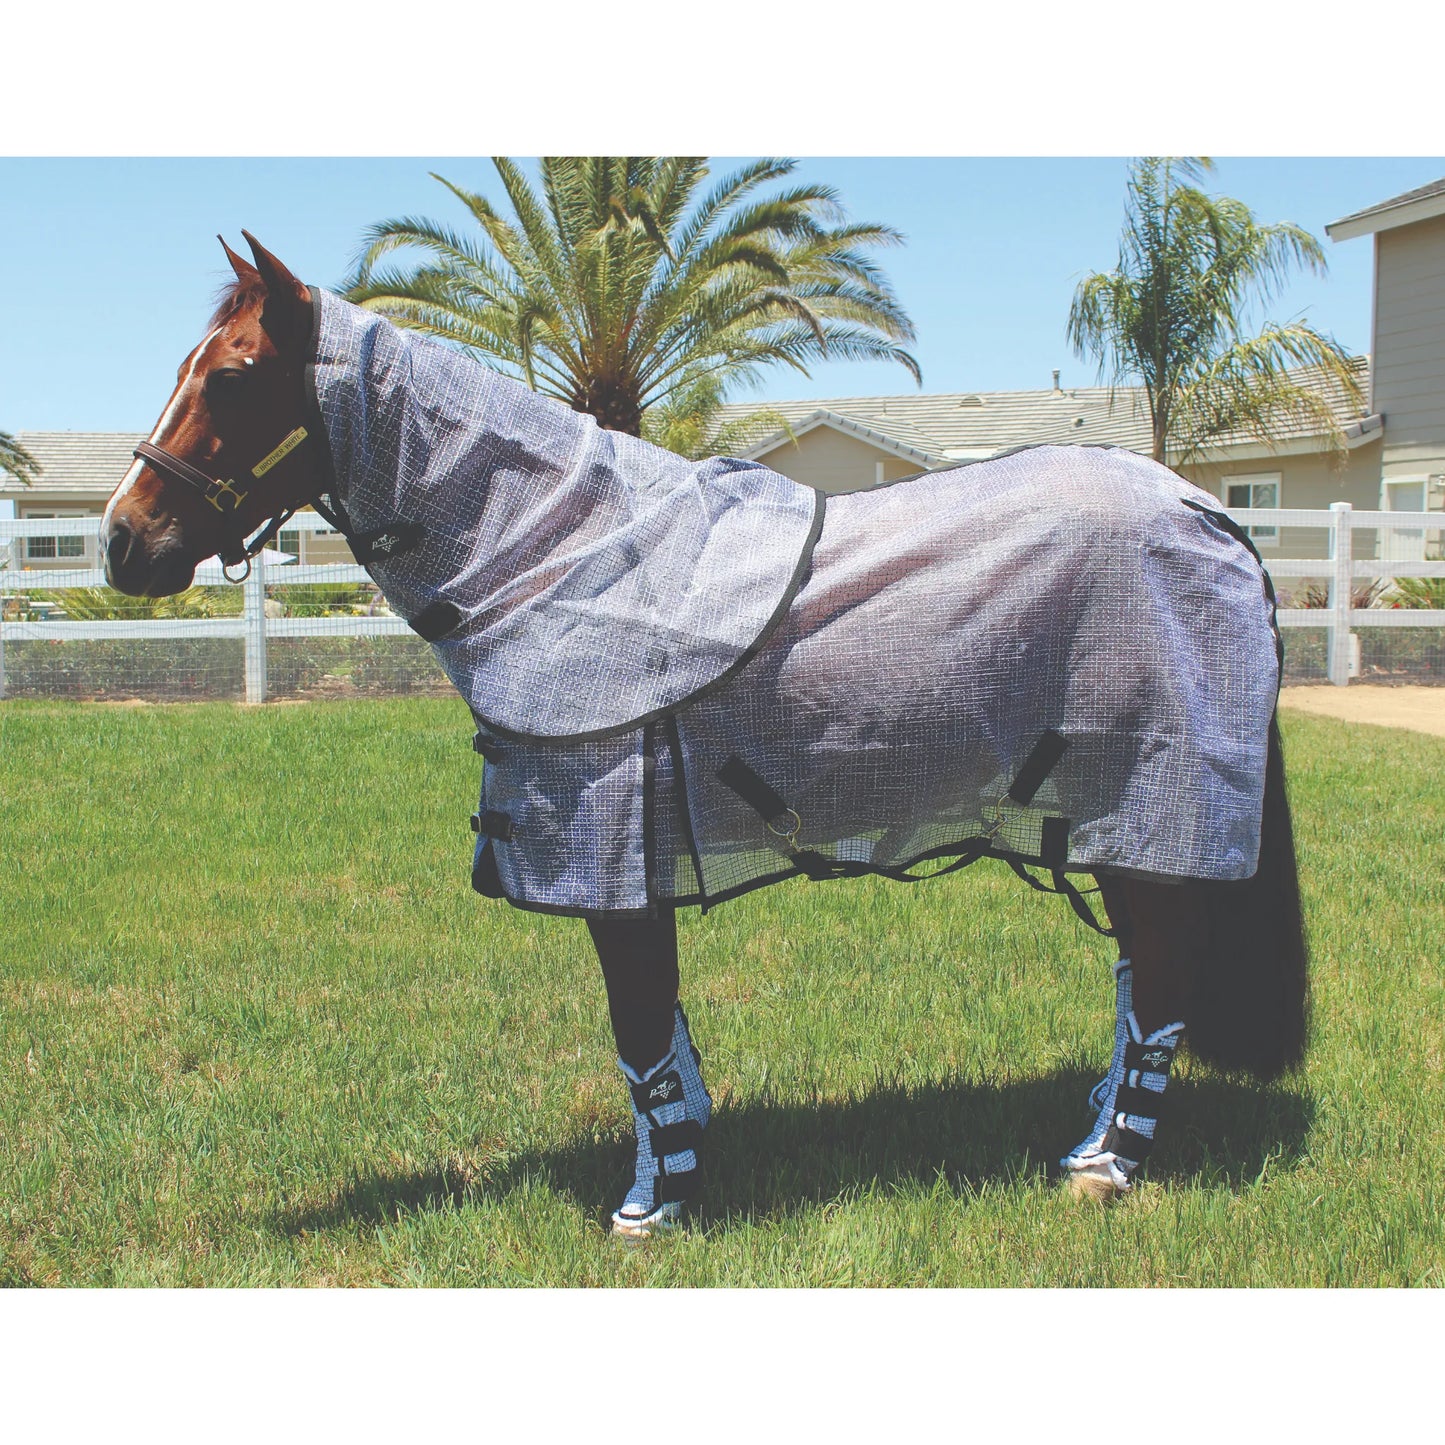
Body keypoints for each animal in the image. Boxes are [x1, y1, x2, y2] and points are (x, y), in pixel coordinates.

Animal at [100, 233, 1308, 1236]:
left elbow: (638, 1026)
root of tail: (1207, 513)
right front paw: (684, 1156)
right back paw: (1094, 1128)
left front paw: (653, 1205)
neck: (566, 552)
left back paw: (1105, 1165)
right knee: (1142, 967)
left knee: (1162, 974)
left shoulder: (609, 853)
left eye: (233, 376)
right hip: (1099, 823)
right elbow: (663, 1032)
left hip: (1144, 805)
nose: (122, 541)